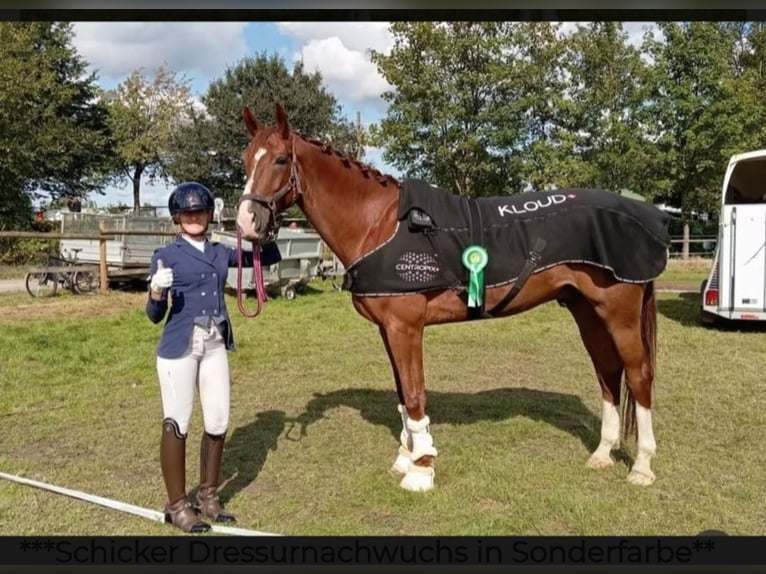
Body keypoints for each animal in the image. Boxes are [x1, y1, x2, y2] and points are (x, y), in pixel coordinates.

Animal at [235, 103, 671, 492]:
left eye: (279, 160)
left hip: (619, 314)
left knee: (638, 375)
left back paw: (642, 466)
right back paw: (602, 454)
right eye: (244, 161)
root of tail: (647, 216)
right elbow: (402, 394)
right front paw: (405, 457)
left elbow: (414, 393)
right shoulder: (388, 330)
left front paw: (421, 468)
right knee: (607, 373)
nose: (246, 223)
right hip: (586, 311)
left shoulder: (406, 328)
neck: (377, 223)